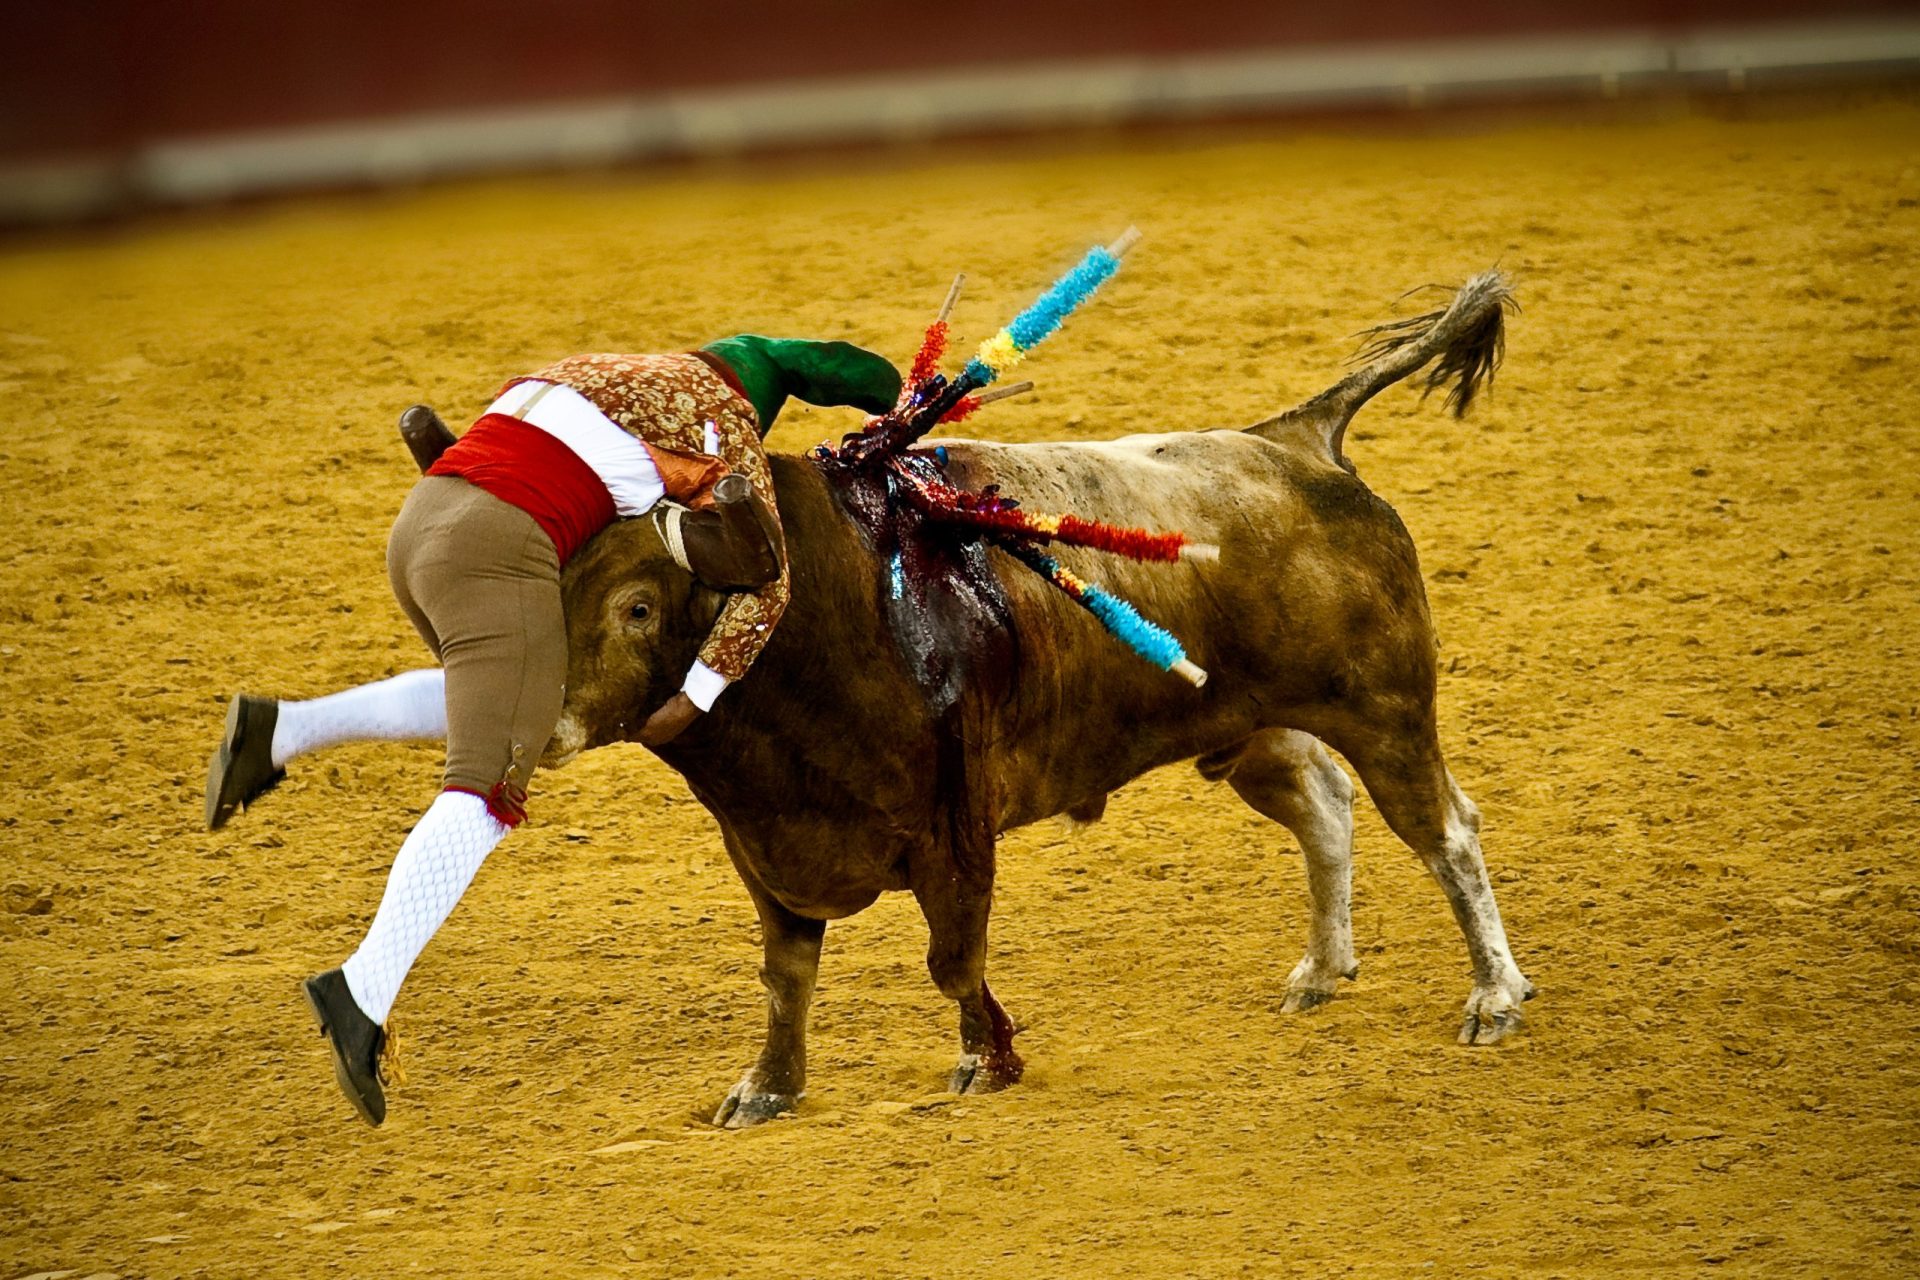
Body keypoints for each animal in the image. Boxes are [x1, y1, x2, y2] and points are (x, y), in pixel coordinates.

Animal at [541, 268, 1528, 1120]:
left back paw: (1494, 996)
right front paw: (766, 1091)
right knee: (1324, 804)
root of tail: (1292, 438)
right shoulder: (762, 844)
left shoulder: (953, 832)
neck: (822, 609)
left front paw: (986, 1063)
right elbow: (785, 978)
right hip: (1256, 728)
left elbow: (952, 956)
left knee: (1445, 832)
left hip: (1385, 711)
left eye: (637, 605)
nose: (542, 724)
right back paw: (1323, 970)